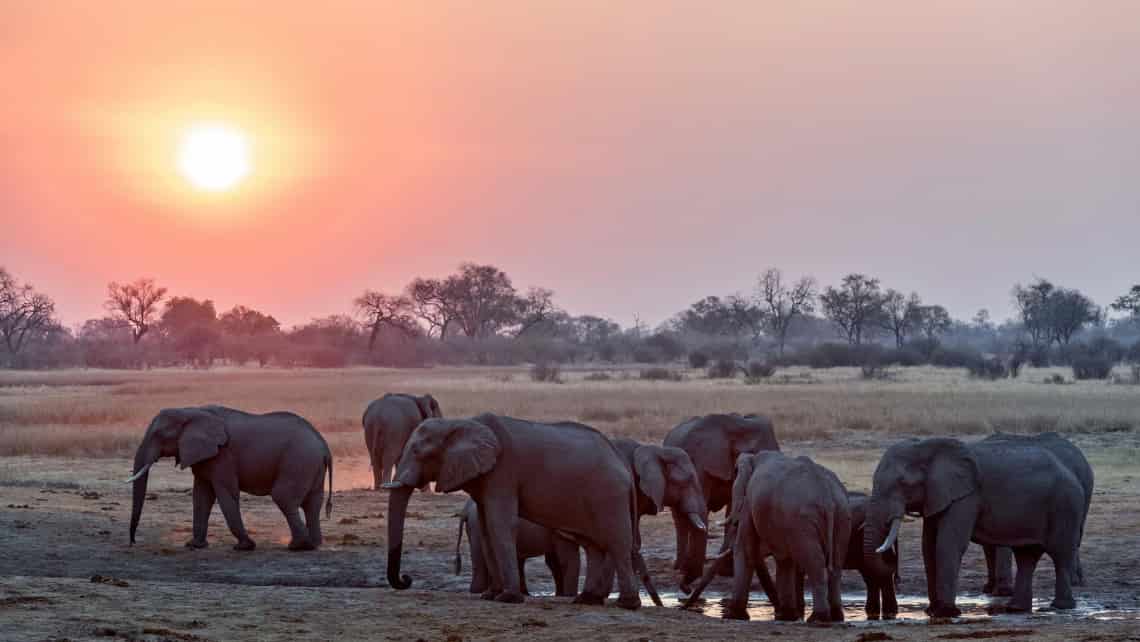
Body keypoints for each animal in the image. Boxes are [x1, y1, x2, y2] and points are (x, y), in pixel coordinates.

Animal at [130, 405, 332, 551]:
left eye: (158, 435)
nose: (133, 542)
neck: (191, 411)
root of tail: (323, 444)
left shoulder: (223, 456)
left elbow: (226, 494)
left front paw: (244, 547)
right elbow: (201, 497)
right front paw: (194, 546)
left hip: (298, 461)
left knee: (283, 497)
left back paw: (298, 546)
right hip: (310, 465)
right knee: (312, 502)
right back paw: (315, 544)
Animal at [383, 415, 656, 611]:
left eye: (418, 452)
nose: (406, 579)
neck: (460, 423)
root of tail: (622, 462)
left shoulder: (503, 472)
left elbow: (500, 524)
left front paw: (508, 598)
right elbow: (486, 529)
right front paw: (490, 596)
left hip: (609, 495)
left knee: (616, 542)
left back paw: (627, 605)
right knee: (593, 545)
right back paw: (587, 600)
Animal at [665, 415, 779, 583]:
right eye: (753, 452)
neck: (739, 426)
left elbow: (732, 508)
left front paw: (727, 572)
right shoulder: (701, 461)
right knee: (681, 519)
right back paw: (681, 567)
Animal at [866, 437, 1080, 615]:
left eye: (902, 482)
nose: (897, 579)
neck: (928, 447)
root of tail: (1069, 471)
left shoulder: (966, 496)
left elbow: (948, 544)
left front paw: (946, 612)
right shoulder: (937, 496)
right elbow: (928, 546)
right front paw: (932, 612)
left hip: (1064, 505)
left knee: (1060, 554)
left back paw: (1060, 607)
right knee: (1026, 556)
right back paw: (1016, 609)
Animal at [980, 435, 1094, 597]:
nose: (1005, 592)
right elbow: (988, 545)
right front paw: (988, 589)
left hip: (1081, 490)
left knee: (1074, 534)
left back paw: (1074, 582)